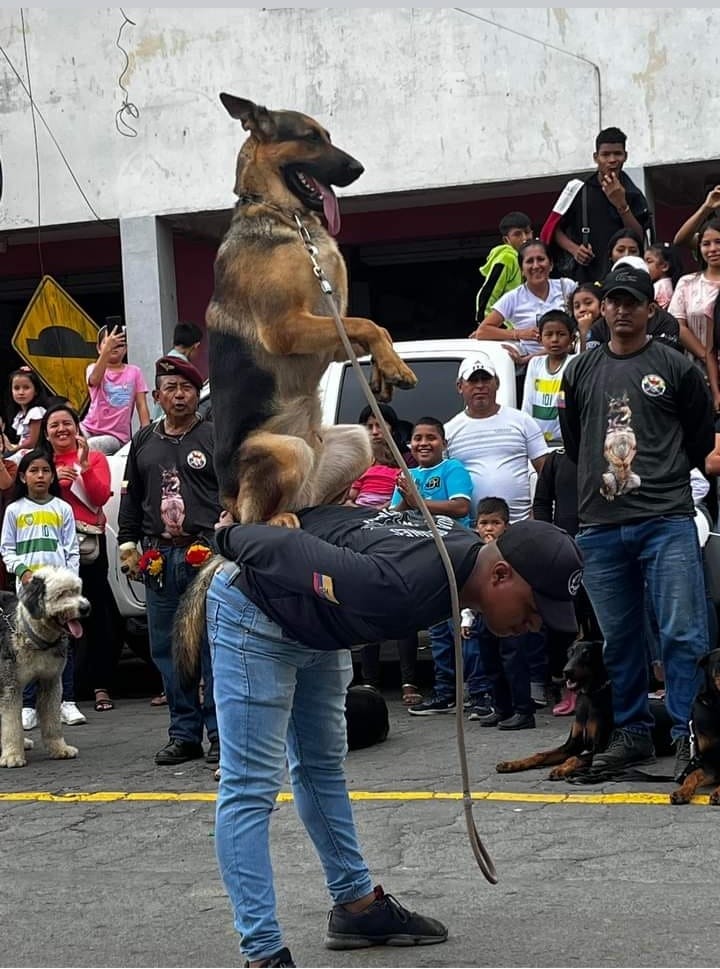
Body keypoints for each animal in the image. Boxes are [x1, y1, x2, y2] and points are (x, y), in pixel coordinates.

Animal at [0, 567, 90, 768]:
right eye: (61, 594)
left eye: (77, 591)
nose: (85, 608)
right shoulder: (10, 685)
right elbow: (11, 722)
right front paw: (12, 755)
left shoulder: (51, 680)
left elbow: (52, 720)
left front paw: (60, 749)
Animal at [205, 94, 417, 525]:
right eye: (310, 138)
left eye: (328, 136)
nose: (359, 168)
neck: (287, 217)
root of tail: (228, 500)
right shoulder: (286, 328)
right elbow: (367, 323)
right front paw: (395, 367)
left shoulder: (332, 336)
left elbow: (375, 327)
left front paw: (386, 367)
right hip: (287, 450)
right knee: (255, 517)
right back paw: (279, 518)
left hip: (358, 439)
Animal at [496, 641, 613, 780]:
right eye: (570, 652)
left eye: (587, 653)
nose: (566, 672)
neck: (588, 696)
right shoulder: (571, 745)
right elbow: (541, 754)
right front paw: (511, 764)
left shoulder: (601, 748)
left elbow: (574, 758)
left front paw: (561, 769)